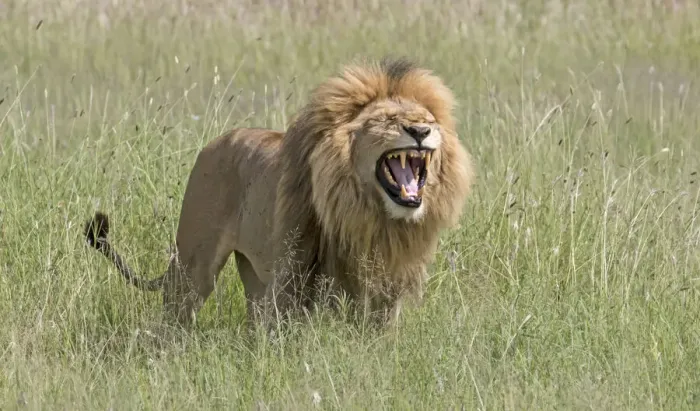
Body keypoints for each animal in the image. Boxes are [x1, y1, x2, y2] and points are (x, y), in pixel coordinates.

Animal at [84, 57, 475, 329]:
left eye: (430, 119)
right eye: (387, 121)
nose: (421, 131)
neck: (370, 216)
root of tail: (213, 143)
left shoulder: (386, 284)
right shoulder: (294, 274)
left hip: (253, 274)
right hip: (194, 266)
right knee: (175, 315)